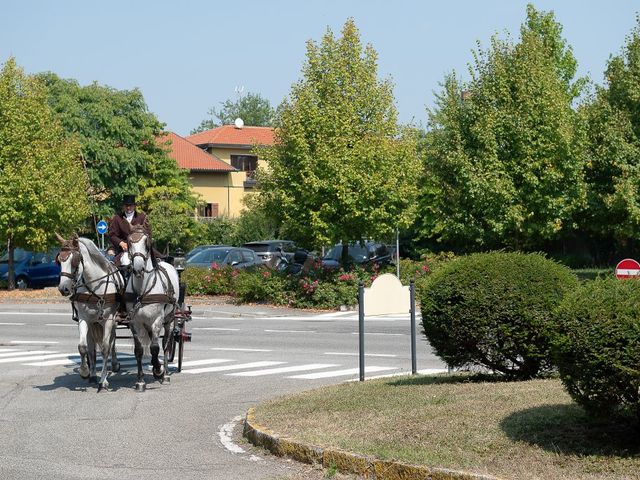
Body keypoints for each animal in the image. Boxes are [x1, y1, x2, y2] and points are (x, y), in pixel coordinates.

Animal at [56, 234, 125, 392]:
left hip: (111, 321)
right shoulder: (84, 319)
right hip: (93, 324)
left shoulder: (108, 320)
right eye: (59, 260)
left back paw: (114, 365)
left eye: (75, 260)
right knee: (92, 347)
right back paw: (93, 374)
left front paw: (104, 380)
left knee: (111, 341)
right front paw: (85, 372)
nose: (63, 288)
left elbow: (105, 348)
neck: (94, 285)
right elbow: (83, 348)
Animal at [120, 225, 179, 390]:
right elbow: (139, 350)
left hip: (169, 319)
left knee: (165, 345)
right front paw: (140, 381)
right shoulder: (135, 322)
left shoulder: (157, 320)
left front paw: (158, 370)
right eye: (129, 241)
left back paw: (165, 374)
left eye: (147, 243)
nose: (138, 268)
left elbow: (155, 348)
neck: (142, 291)